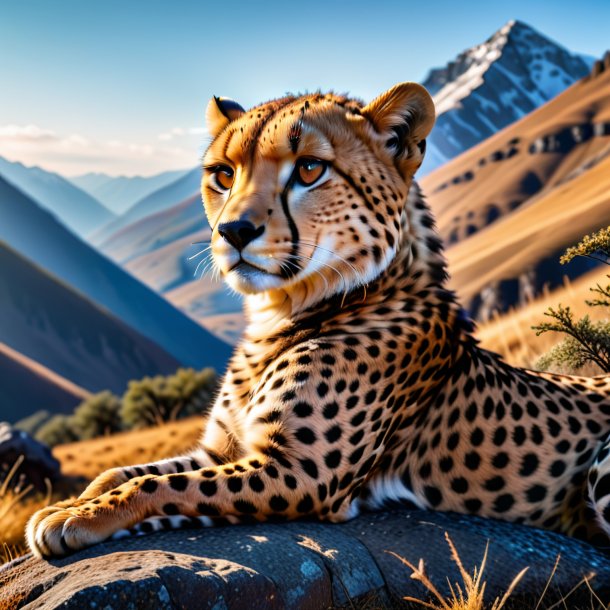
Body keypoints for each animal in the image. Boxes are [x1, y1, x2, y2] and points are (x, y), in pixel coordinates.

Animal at [26, 82, 608, 556]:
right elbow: (120, 471)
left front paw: (78, 517)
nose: (233, 232)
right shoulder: (223, 449)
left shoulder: (299, 473)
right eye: (222, 175)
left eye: (309, 169)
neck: (281, 316)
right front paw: (71, 504)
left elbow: (161, 486)